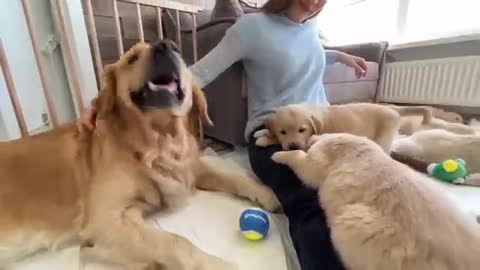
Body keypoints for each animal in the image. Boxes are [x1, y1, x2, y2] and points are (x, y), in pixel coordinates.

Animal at [0, 40, 278, 270]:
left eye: (177, 51)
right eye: (132, 57)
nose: (166, 45)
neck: (159, 141)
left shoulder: (191, 170)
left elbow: (234, 177)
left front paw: (265, 193)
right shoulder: (108, 219)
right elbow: (178, 243)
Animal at [253, 102, 430, 152]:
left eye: (302, 130)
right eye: (283, 132)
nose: (293, 147)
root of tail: (392, 108)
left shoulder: (308, 141)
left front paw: (264, 140)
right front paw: (262, 132)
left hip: (383, 138)